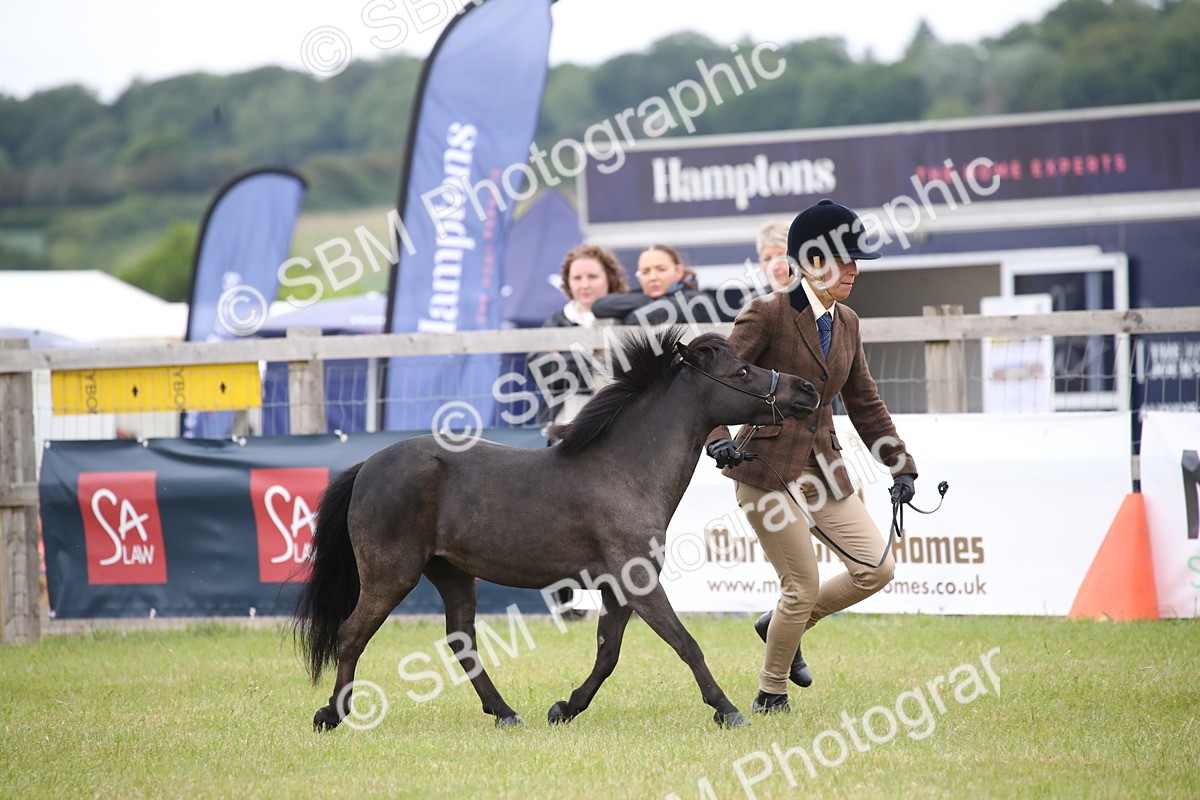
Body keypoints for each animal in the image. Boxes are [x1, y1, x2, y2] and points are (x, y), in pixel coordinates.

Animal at [294, 326, 819, 730]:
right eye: (742, 372)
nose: (807, 392)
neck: (624, 470)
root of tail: (368, 466)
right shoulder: (639, 580)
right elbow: (686, 644)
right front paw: (729, 711)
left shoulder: (617, 587)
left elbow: (608, 654)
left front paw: (565, 708)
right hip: (391, 574)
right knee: (352, 634)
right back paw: (331, 715)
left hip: (452, 573)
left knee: (461, 640)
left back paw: (506, 713)